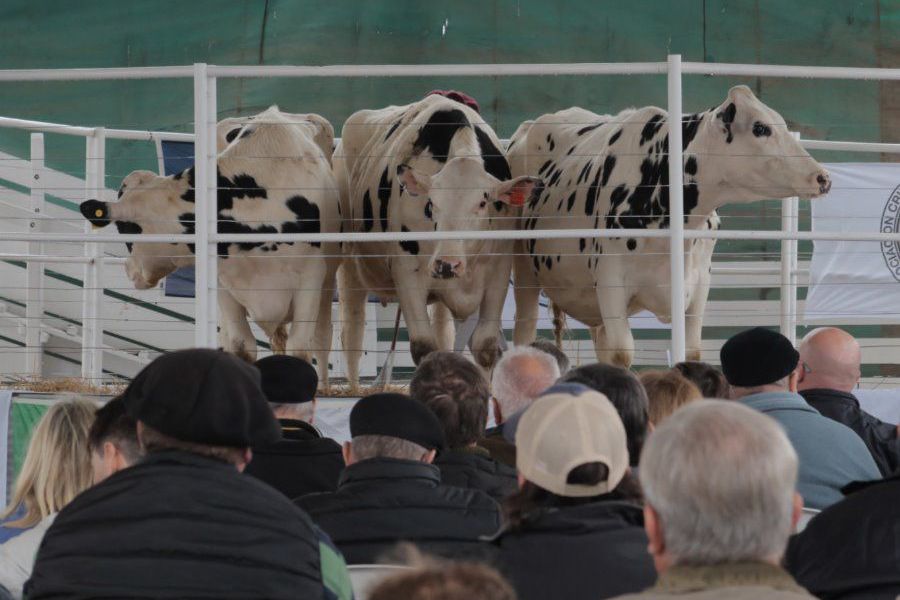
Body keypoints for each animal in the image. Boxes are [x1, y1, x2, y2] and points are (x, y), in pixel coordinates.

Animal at [75, 107, 338, 380]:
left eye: (124, 229)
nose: (129, 270)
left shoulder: (311, 279)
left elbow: (301, 350)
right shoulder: (225, 285)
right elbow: (241, 346)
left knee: (322, 338)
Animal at [332, 91, 536, 386]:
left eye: (483, 202)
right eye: (432, 204)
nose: (447, 264)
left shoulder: (498, 269)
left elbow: (485, 345)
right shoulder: (407, 273)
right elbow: (424, 346)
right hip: (349, 265)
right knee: (352, 332)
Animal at [510, 84, 832, 366]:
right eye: (761, 128)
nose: (823, 177)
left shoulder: (700, 282)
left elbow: (690, 350)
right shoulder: (610, 277)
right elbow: (622, 352)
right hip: (524, 271)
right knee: (524, 330)